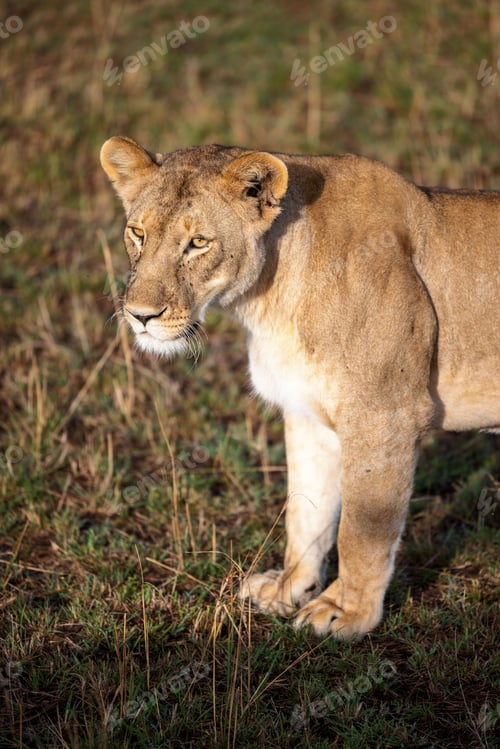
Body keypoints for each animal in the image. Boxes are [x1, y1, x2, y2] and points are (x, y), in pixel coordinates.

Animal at [100, 136, 500, 639]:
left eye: (198, 243)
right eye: (138, 233)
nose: (140, 315)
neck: (269, 300)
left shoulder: (384, 416)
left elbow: (361, 531)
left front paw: (347, 612)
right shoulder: (308, 413)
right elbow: (306, 512)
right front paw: (290, 588)